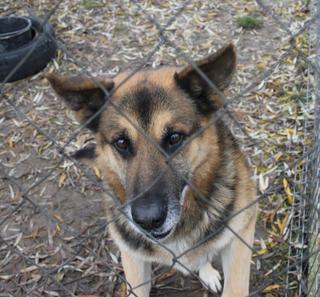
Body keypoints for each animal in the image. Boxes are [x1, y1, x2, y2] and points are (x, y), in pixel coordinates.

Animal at [46, 44, 258, 296]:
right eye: (121, 143)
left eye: (174, 138)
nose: (147, 221)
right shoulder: (133, 259)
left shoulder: (241, 235)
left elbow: (235, 285)